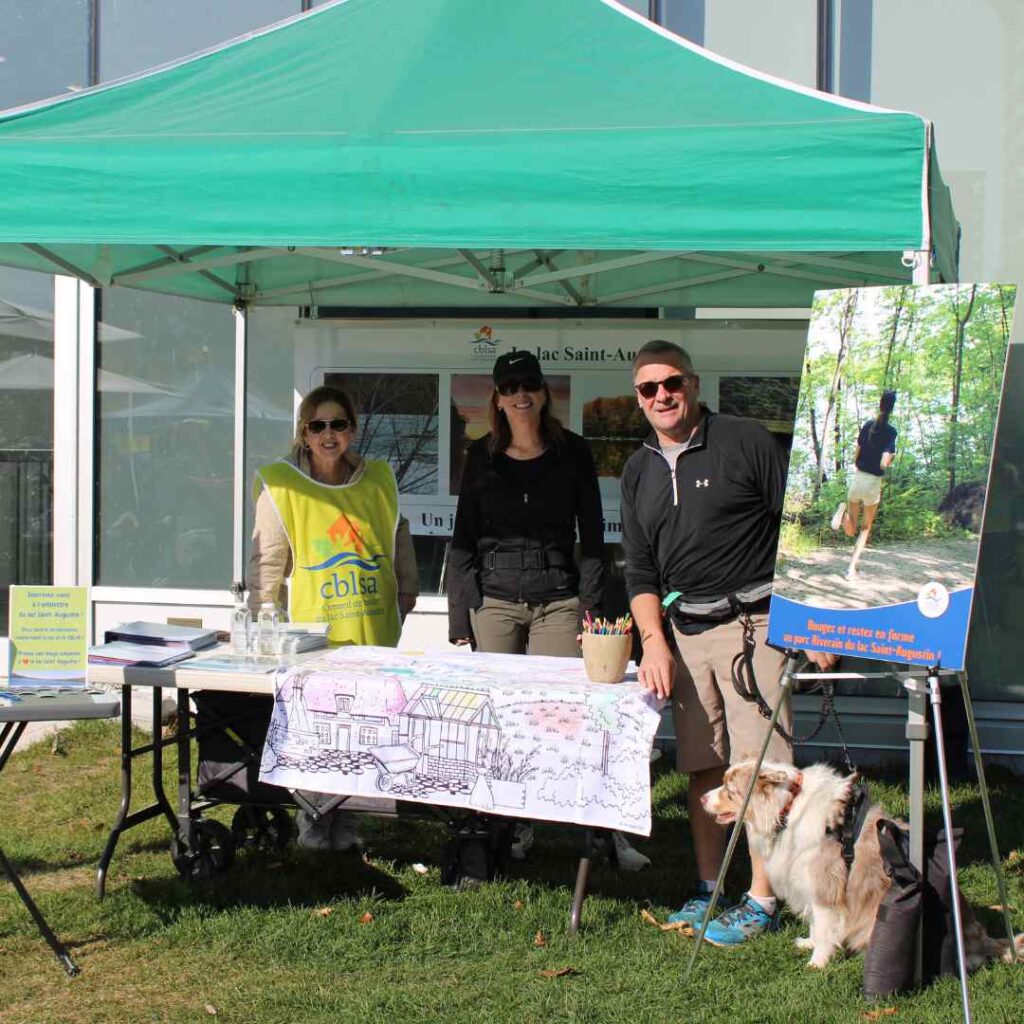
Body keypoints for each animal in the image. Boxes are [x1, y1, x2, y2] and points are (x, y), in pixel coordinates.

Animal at [700, 761, 1019, 966]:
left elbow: (824, 926)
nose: (702, 798)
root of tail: (978, 937)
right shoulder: (809, 884)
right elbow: (816, 925)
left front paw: (817, 963)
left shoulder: (825, 885)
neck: (787, 808)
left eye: (729, 789)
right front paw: (809, 944)